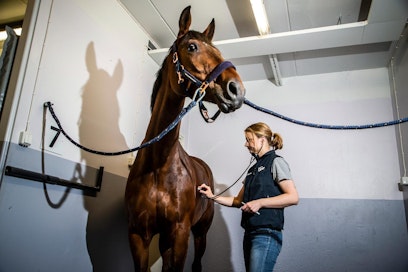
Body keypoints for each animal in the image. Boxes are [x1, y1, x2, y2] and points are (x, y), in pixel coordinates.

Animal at [126, 6, 244, 272]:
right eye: (191, 47)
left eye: (219, 51)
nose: (237, 90)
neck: (157, 165)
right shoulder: (138, 235)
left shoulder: (180, 235)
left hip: (200, 233)